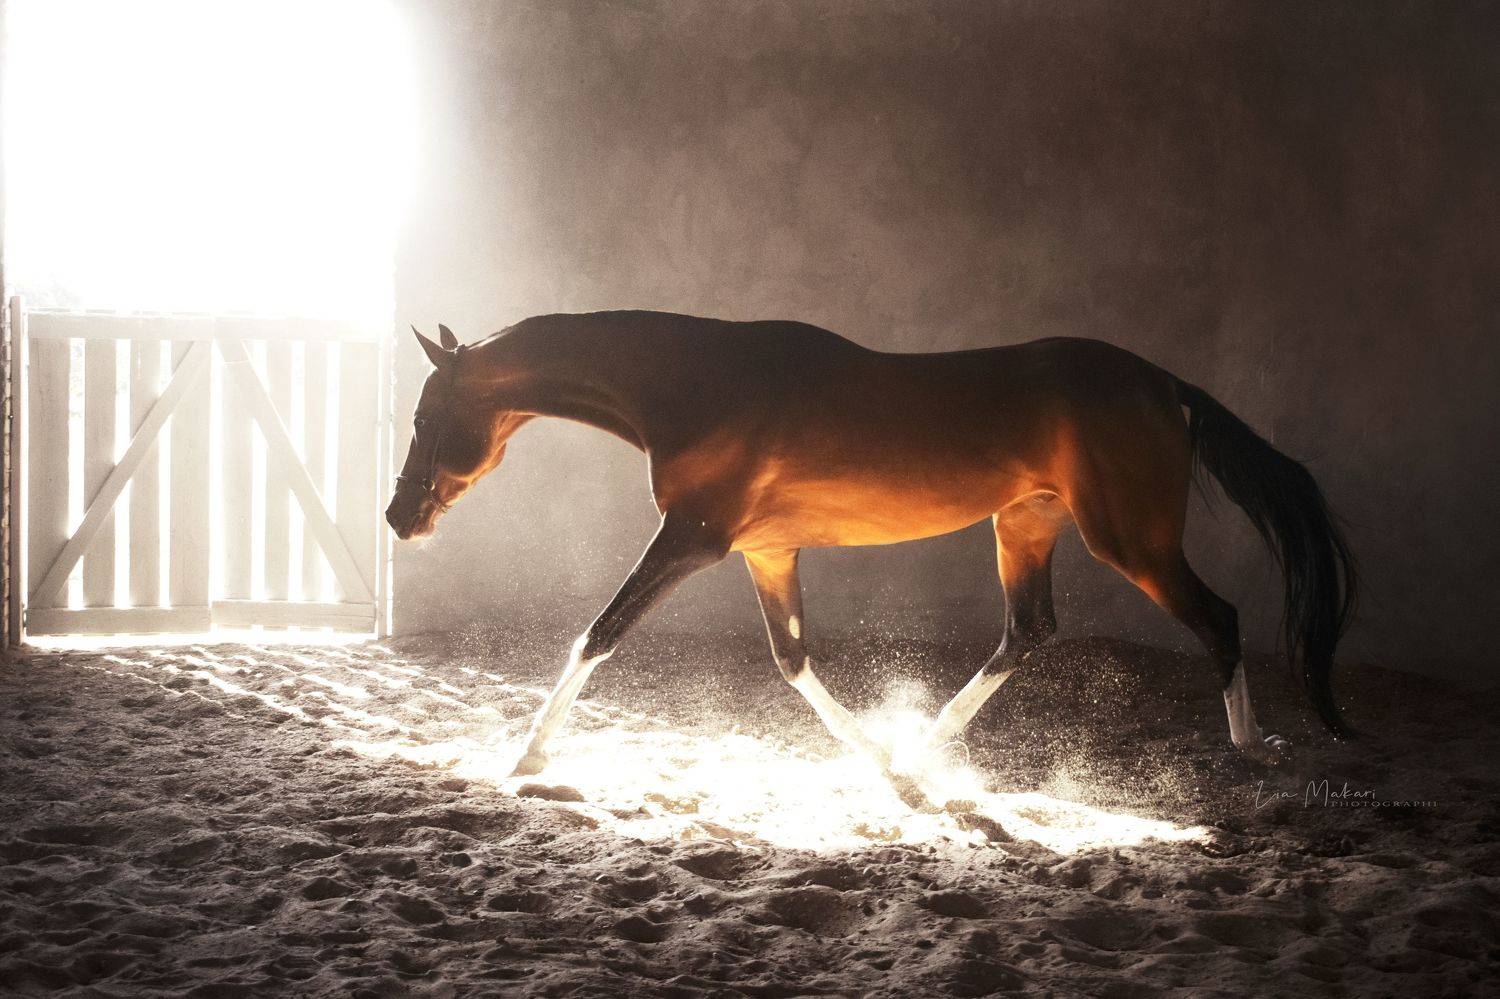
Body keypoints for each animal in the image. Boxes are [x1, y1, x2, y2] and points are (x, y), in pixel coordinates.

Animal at [386, 310, 1356, 787]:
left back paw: (1253, 745)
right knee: (1028, 630)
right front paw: (882, 757)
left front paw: (525, 755)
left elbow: (599, 633)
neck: (690, 382)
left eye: (427, 417)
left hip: (1133, 540)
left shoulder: (692, 538)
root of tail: (1167, 386)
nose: (400, 518)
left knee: (1217, 616)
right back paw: (925, 744)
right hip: (1024, 525)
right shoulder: (765, 551)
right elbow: (793, 661)